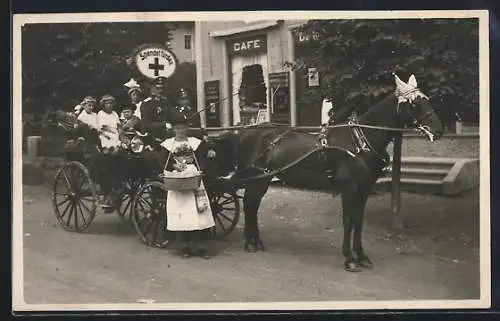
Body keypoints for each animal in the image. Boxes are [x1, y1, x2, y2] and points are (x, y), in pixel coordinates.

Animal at [215, 74, 446, 272]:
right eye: (414, 104)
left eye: (426, 99)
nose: (439, 130)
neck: (358, 141)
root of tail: (245, 132)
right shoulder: (349, 188)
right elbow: (348, 220)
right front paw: (350, 259)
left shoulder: (364, 189)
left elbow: (359, 221)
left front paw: (362, 256)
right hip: (257, 179)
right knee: (249, 205)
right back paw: (250, 243)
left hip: (263, 178)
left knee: (251, 206)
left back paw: (255, 242)